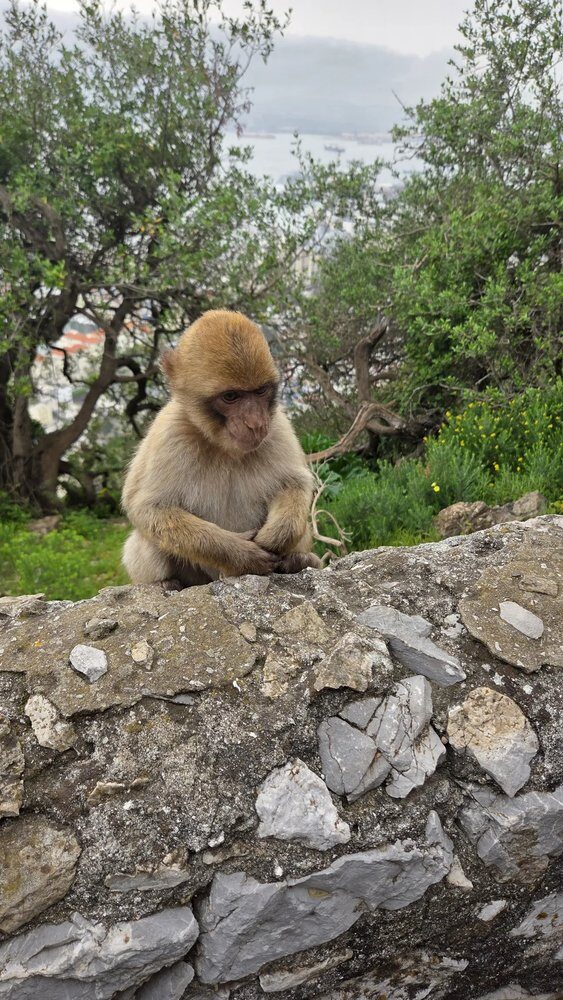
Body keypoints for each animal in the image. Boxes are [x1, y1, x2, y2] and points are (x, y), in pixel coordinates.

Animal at [121, 310, 321, 588]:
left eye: (260, 391)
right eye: (231, 397)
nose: (255, 423)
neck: (224, 448)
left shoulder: (278, 427)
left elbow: (295, 482)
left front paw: (275, 537)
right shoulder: (170, 434)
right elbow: (149, 508)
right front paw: (240, 555)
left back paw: (299, 561)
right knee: (146, 539)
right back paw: (168, 582)